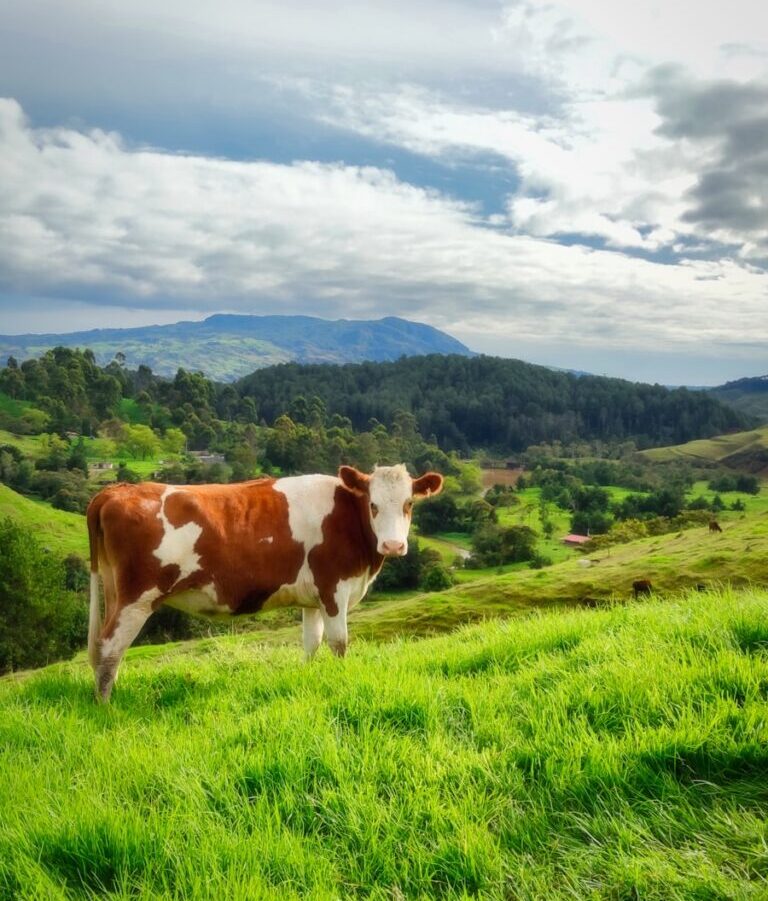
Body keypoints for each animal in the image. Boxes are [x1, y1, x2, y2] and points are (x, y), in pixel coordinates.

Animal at [86, 464, 443, 701]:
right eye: (373, 504)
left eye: (409, 503)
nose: (393, 546)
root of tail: (118, 490)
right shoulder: (334, 589)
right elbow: (339, 643)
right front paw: (342, 681)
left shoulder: (312, 598)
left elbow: (311, 643)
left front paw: (308, 678)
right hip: (137, 597)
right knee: (110, 647)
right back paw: (106, 705)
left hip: (114, 590)